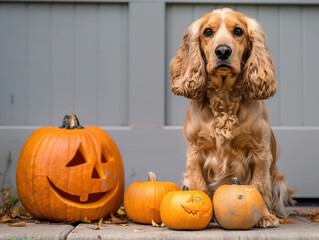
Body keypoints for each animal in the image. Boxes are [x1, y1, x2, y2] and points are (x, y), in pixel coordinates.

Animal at [171, 8, 296, 228]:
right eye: (208, 32)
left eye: (238, 31)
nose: (222, 51)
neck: (225, 99)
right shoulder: (195, 152)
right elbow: (200, 186)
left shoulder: (260, 152)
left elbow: (258, 186)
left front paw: (264, 216)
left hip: (279, 181)